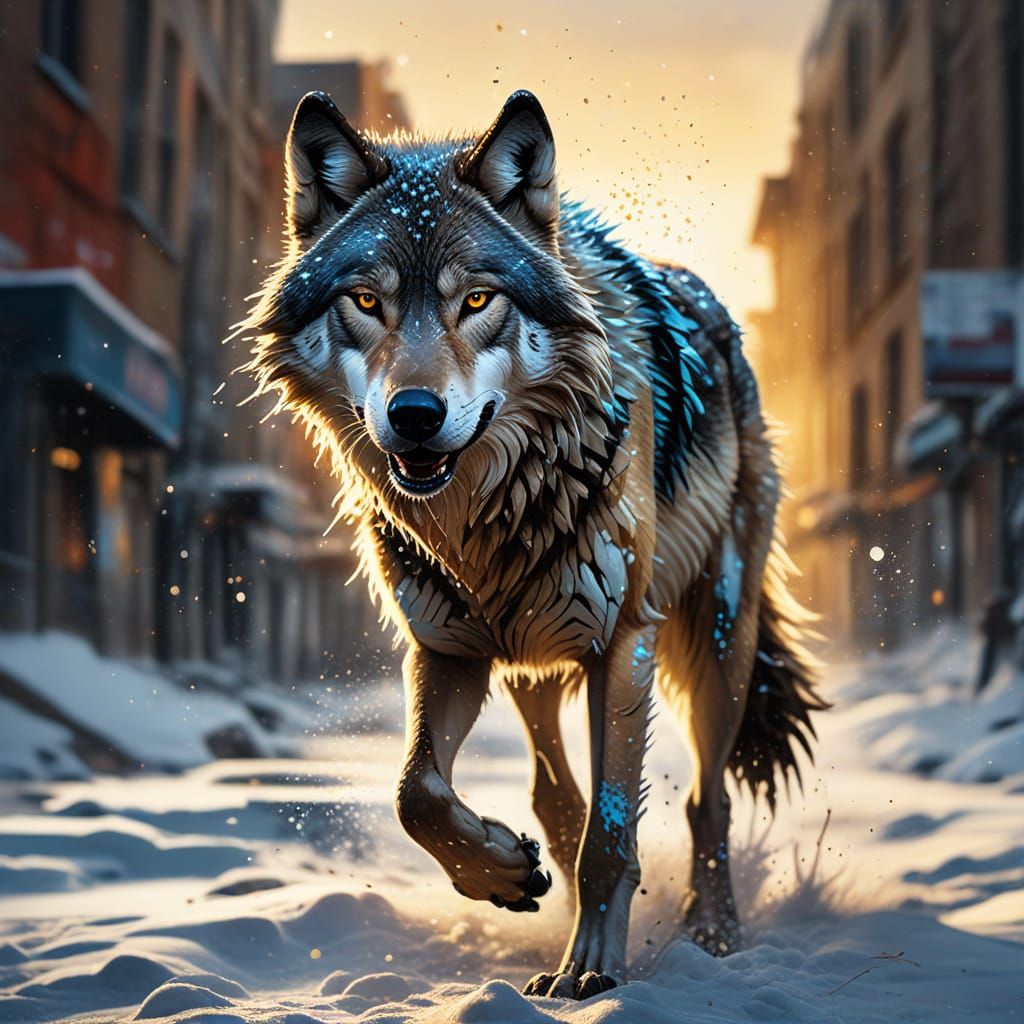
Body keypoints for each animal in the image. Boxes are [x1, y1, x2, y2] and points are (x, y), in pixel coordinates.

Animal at [243, 89, 825, 1000]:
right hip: (530, 659)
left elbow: (613, 836)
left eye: (479, 301)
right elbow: (416, 791)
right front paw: (498, 872)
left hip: (719, 638)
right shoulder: (446, 648)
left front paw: (590, 969)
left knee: (707, 801)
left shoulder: (625, 643)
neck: (485, 516)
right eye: (366, 302)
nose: (414, 415)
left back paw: (712, 931)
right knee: (555, 796)